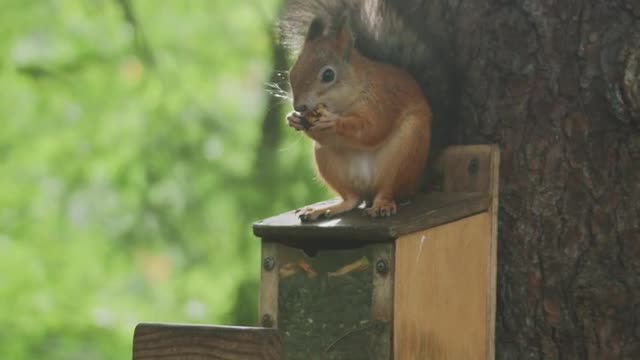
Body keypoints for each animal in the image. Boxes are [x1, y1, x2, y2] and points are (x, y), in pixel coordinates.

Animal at [280, 4, 430, 221]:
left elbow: (372, 129)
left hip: (406, 154)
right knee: (352, 199)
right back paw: (325, 209)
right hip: (326, 159)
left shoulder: (382, 100)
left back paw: (382, 204)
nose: (299, 107)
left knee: (388, 190)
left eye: (328, 75)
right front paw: (294, 120)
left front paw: (332, 121)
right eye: (292, 70)